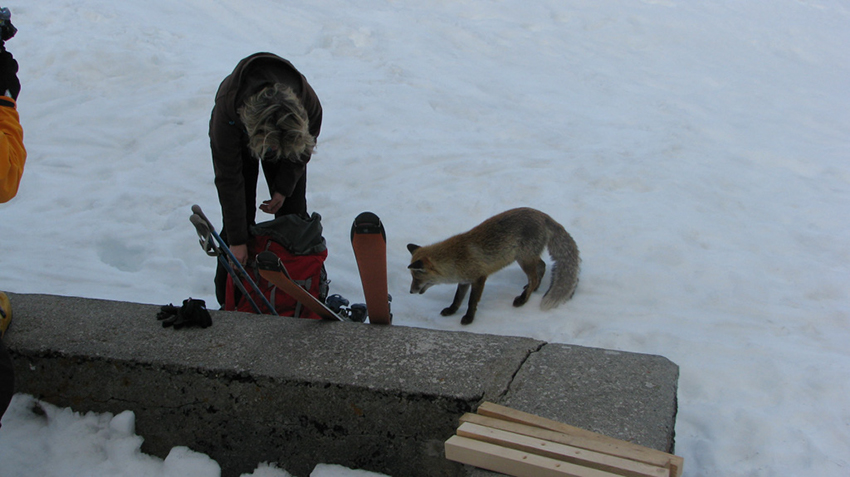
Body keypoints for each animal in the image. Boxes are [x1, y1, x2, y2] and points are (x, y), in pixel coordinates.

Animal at [407, 207, 580, 325]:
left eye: (416, 277)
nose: (410, 291)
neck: (455, 258)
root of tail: (543, 215)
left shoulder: (479, 278)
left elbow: (471, 302)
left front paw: (469, 318)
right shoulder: (464, 280)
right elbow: (457, 298)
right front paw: (451, 310)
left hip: (524, 259)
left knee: (535, 276)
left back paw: (523, 299)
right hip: (525, 258)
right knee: (541, 268)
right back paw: (533, 290)